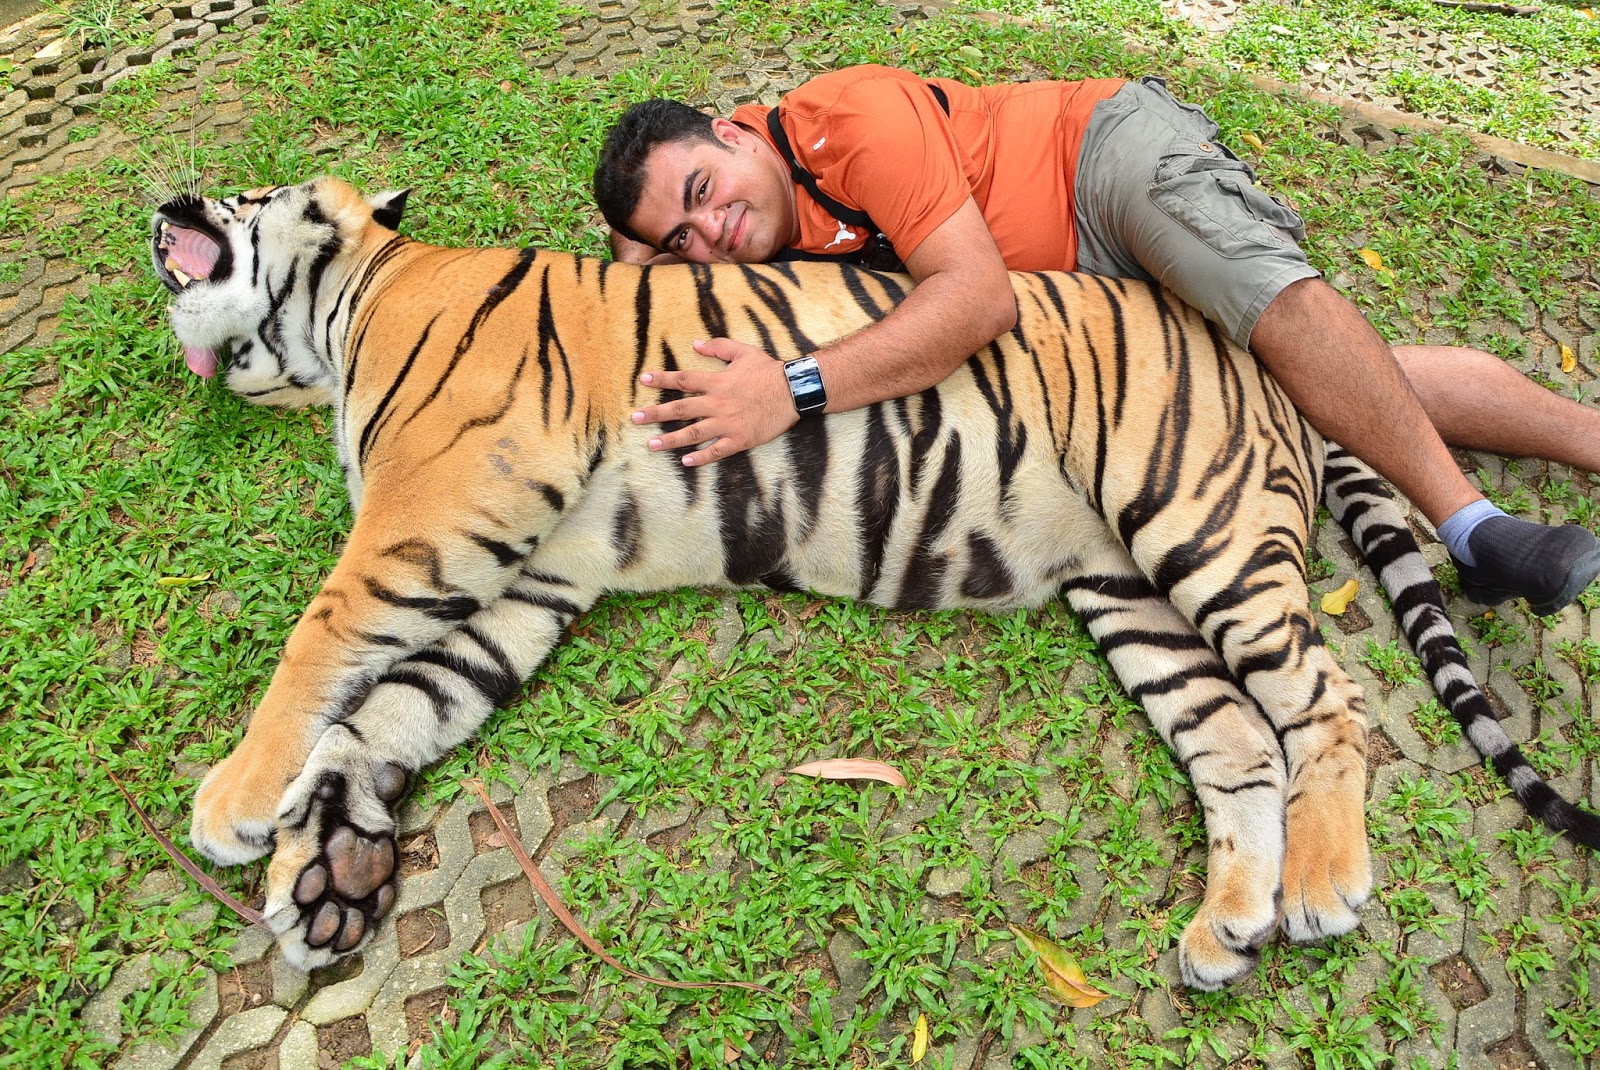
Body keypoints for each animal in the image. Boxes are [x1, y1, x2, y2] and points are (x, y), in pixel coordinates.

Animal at [150, 175, 1600, 990]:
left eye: (239, 195)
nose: (167, 204)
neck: (347, 312)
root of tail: (1263, 367)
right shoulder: (525, 579)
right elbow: (391, 710)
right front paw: (329, 867)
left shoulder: (441, 506)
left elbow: (323, 638)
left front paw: (235, 800)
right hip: (1135, 596)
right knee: (1241, 741)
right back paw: (1225, 928)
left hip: (1205, 528)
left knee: (1330, 702)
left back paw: (1320, 887)